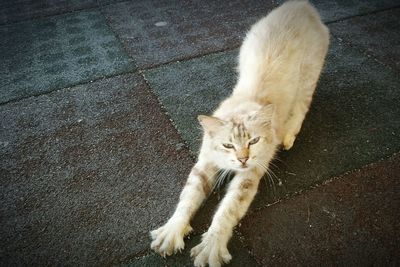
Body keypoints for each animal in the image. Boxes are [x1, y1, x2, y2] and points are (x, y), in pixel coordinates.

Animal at [150, 1, 328, 266]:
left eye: (254, 141)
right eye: (227, 145)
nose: (243, 159)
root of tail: (301, 6)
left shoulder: (249, 175)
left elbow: (227, 210)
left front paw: (211, 248)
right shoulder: (204, 165)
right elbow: (187, 198)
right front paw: (171, 233)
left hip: (308, 76)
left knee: (301, 108)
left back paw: (288, 136)